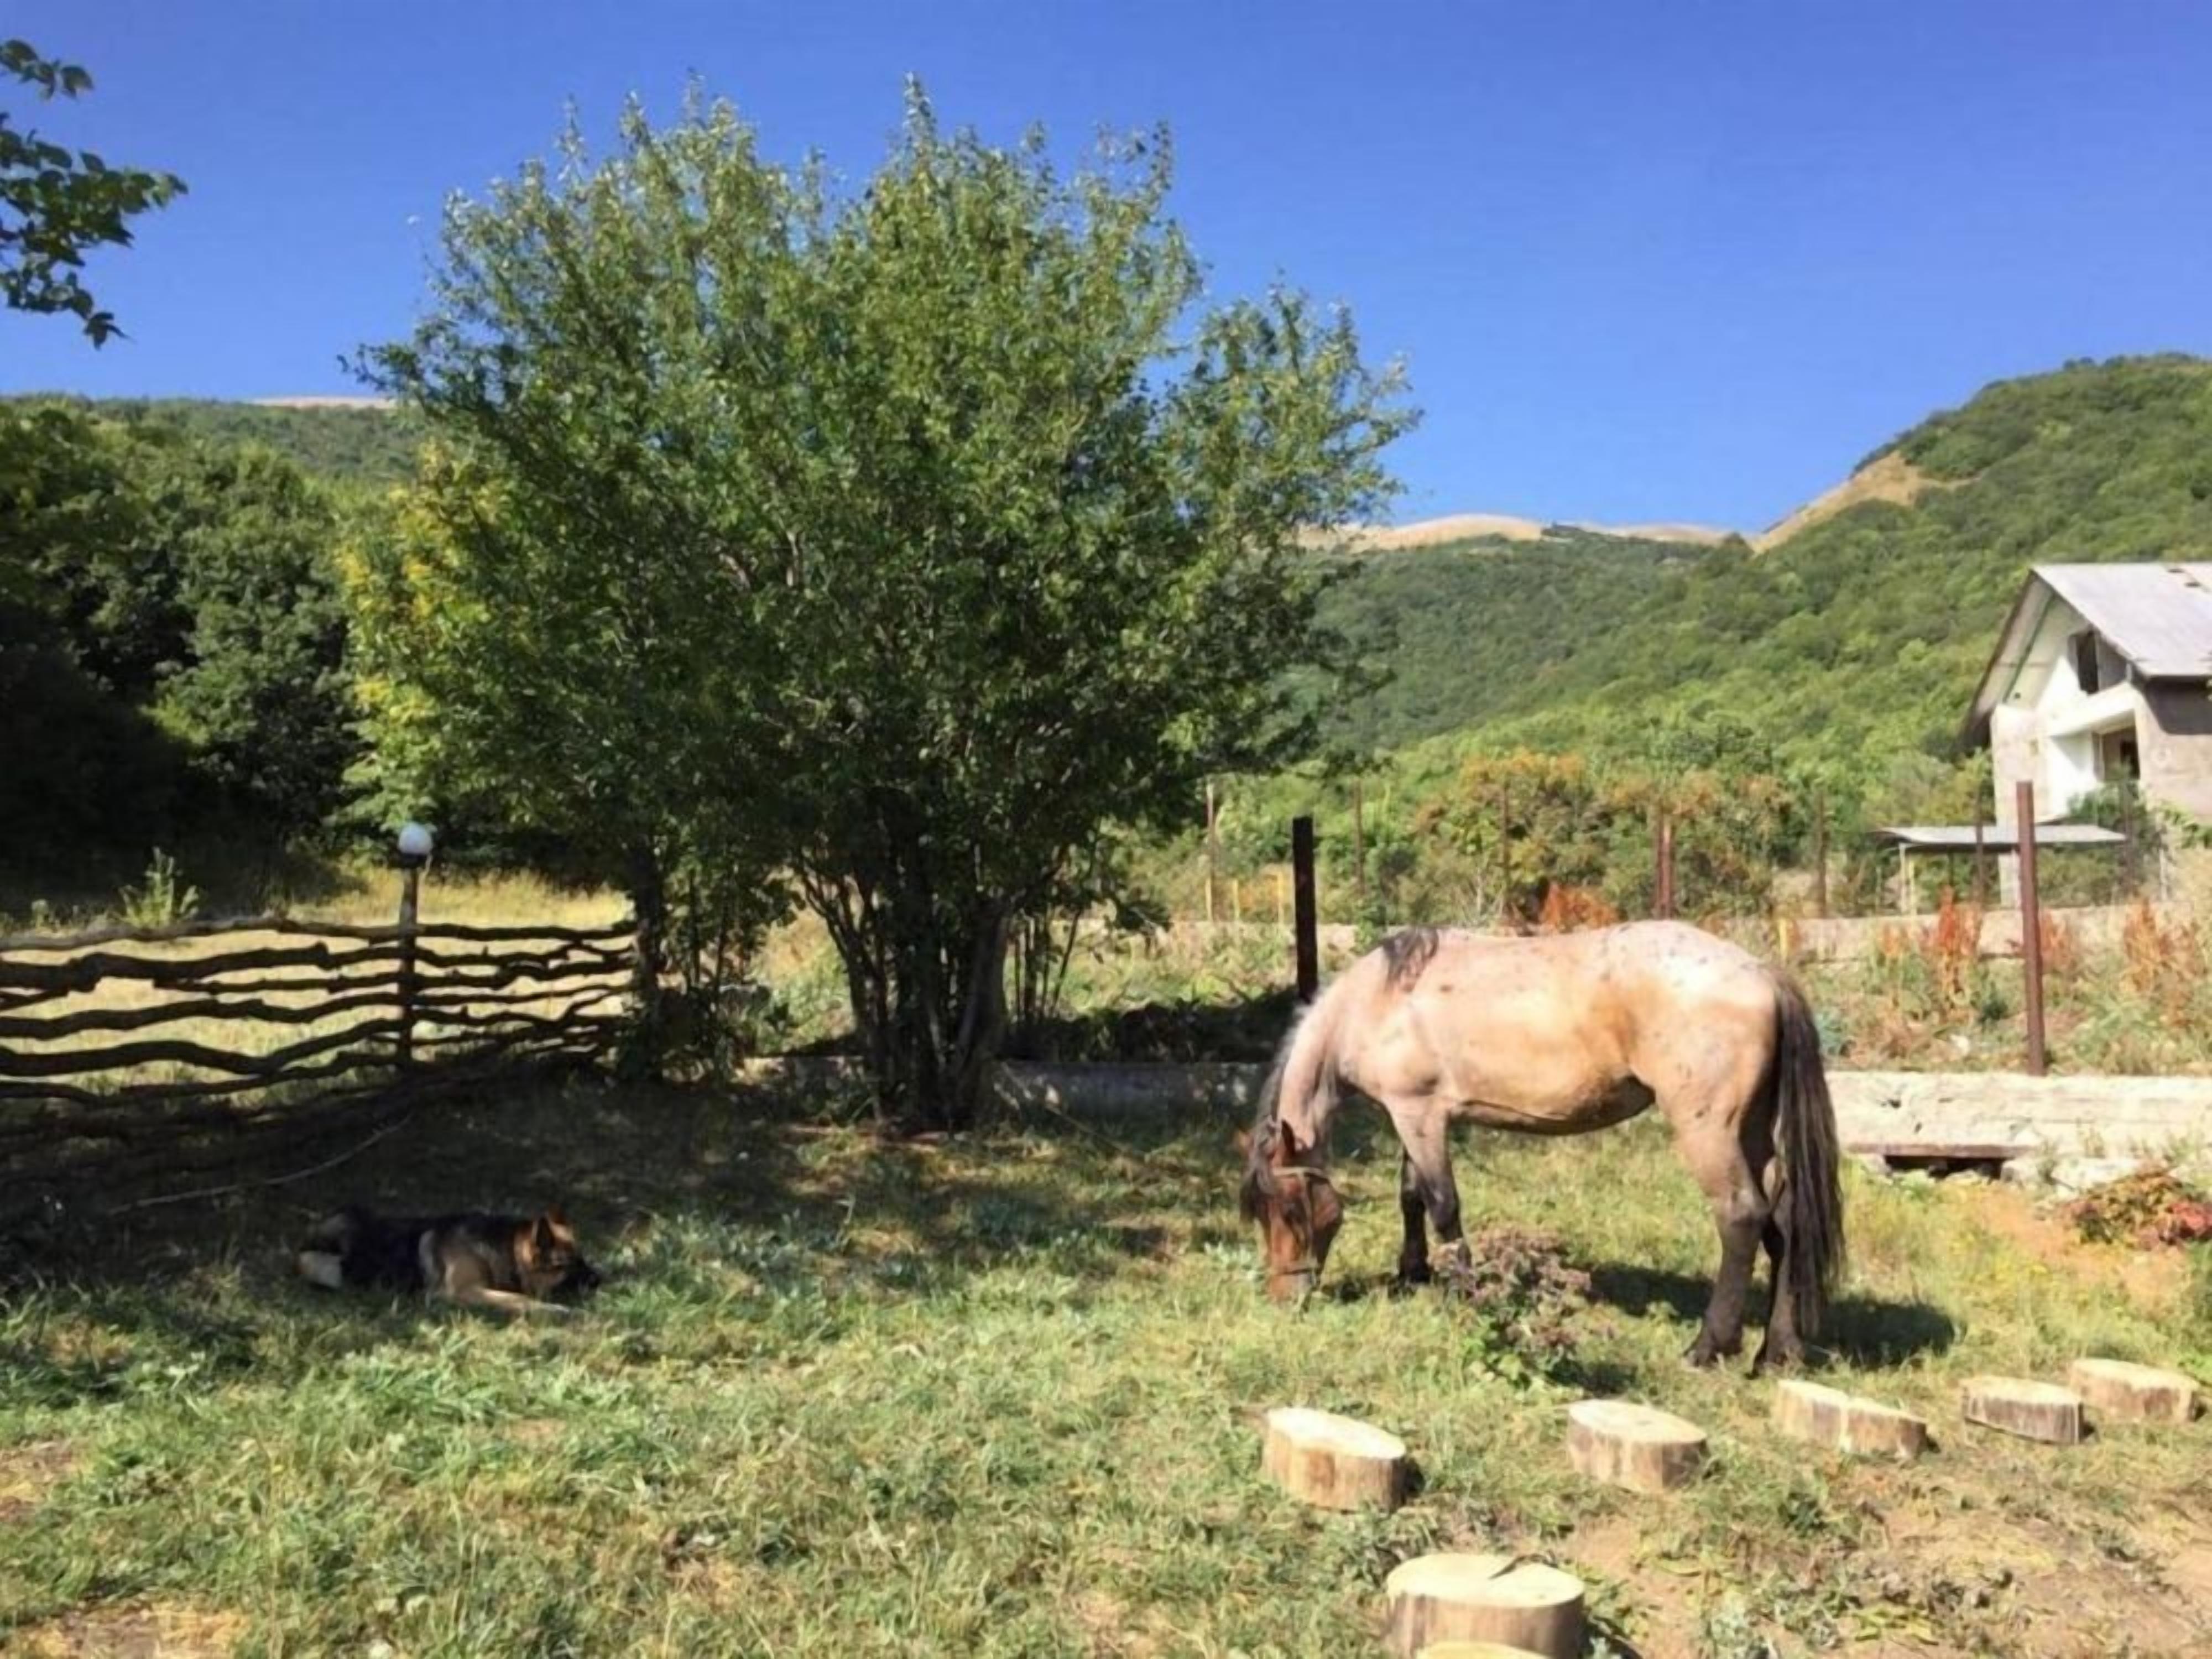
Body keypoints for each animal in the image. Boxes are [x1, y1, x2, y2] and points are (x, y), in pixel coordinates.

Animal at [1237, 921, 1844, 1372]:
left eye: (1290, 1212)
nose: (1285, 1298)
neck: (1382, 998)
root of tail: (1761, 972)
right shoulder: (1408, 1116)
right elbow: (1411, 1197)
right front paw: (1413, 1273)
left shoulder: (1419, 1114)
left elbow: (1443, 1206)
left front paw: (1465, 1291)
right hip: (1753, 1129)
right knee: (1783, 1221)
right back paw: (1778, 1352)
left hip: (1710, 1132)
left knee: (1741, 1218)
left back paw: (1707, 1347)